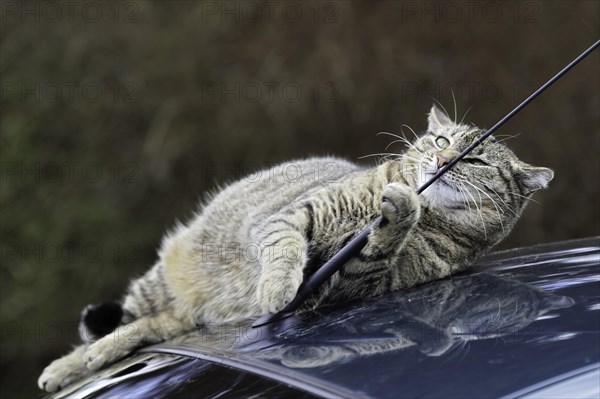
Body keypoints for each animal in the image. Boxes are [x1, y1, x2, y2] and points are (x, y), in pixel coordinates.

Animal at [37, 104, 552, 392]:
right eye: (442, 140)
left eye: (476, 160)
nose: (443, 159)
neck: (433, 217)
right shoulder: (296, 216)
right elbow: (284, 252)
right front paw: (275, 288)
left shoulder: (352, 282)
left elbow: (380, 244)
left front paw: (400, 210)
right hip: (158, 285)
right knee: (113, 328)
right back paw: (69, 365)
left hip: (175, 314)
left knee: (142, 331)